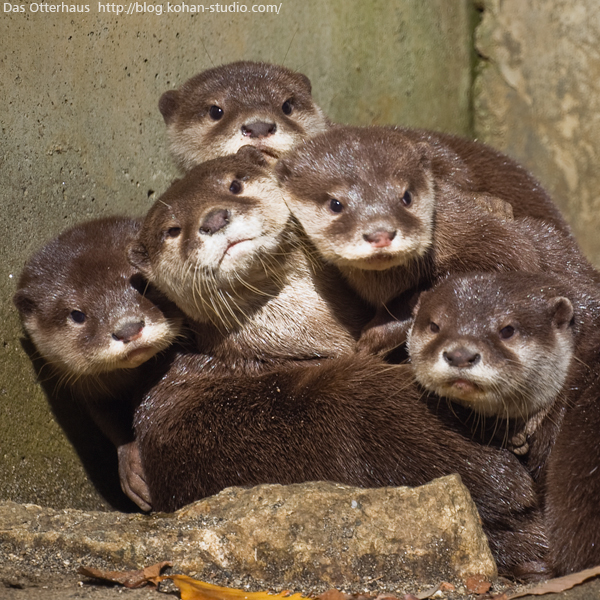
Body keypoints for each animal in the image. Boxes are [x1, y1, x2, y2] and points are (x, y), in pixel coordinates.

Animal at [12, 217, 183, 510]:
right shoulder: (93, 393)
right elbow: (111, 424)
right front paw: (131, 466)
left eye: (144, 285)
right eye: (77, 315)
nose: (128, 329)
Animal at [276, 124, 596, 354]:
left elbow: (510, 260)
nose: (381, 233)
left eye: (406, 196)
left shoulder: (483, 233)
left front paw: (378, 333)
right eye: (335, 204)